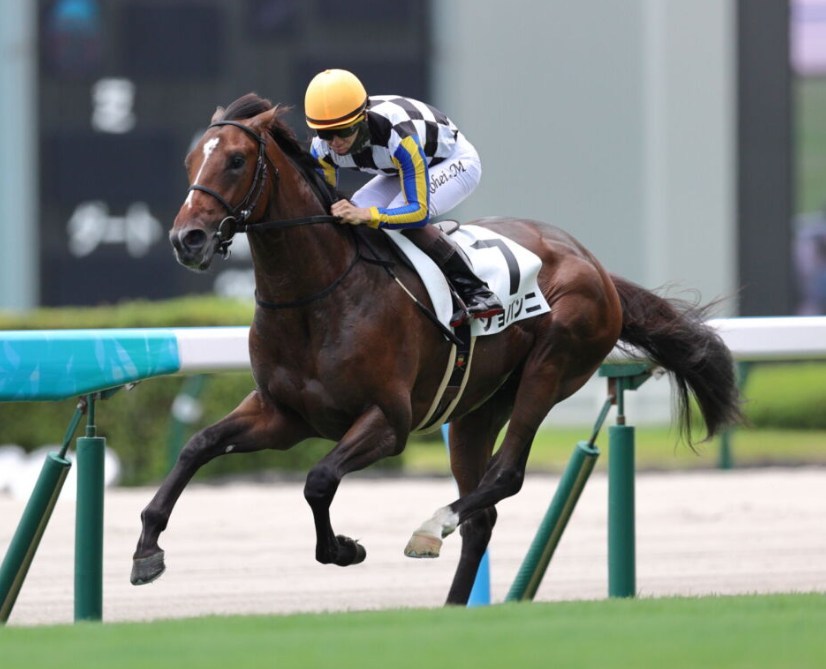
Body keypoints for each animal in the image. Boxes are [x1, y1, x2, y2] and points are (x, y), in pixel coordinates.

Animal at [131, 93, 742, 605]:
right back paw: (453, 607)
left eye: (235, 161)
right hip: (477, 407)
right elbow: (199, 446)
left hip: (552, 368)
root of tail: (594, 265)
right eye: (191, 161)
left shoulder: (389, 422)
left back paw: (431, 527)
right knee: (483, 514)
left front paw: (343, 549)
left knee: (506, 475)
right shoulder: (284, 415)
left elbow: (319, 480)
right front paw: (146, 550)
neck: (317, 296)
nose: (187, 239)